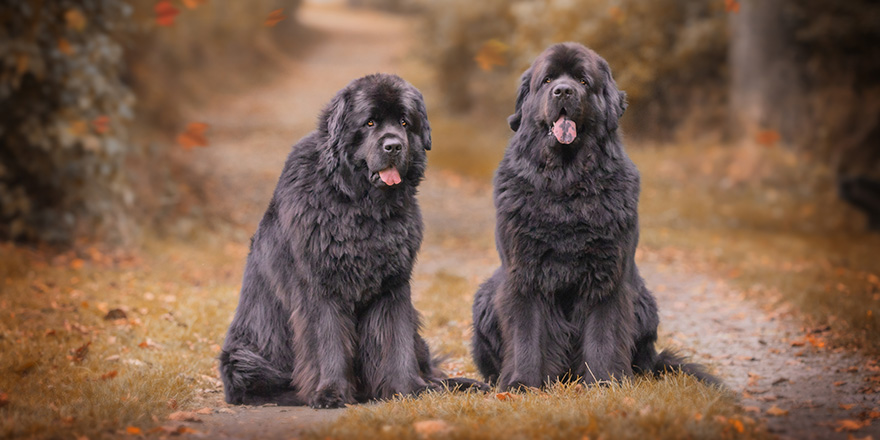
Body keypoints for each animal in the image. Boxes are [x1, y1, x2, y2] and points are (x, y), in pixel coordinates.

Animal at [220, 74, 482, 408]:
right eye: (369, 123)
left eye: (404, 122)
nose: (394, 145)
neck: (360, 206)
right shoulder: (320, 286)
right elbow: (328, 342)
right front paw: (330, 393)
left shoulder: (393, 286)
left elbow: (395, 341)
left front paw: (408, 389)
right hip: (243, 357)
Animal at [470, 43, 720, 390]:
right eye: (547, 80)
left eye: (583, 81)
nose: (563, 91)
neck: (566, 183)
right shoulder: (524, 273)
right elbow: (526, 332)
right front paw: (522, 383)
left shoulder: (607, 274)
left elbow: (604, 333)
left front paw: (604, 383)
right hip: (484, 297)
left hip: (645, 303)